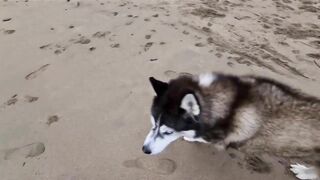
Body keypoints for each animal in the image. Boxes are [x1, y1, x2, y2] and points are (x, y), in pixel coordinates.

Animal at [142, 73, 320, 180]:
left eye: (168, 132)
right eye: (153, 124)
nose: (145, 150)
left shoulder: (222, 138)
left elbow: (204, 137)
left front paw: (191, 137)